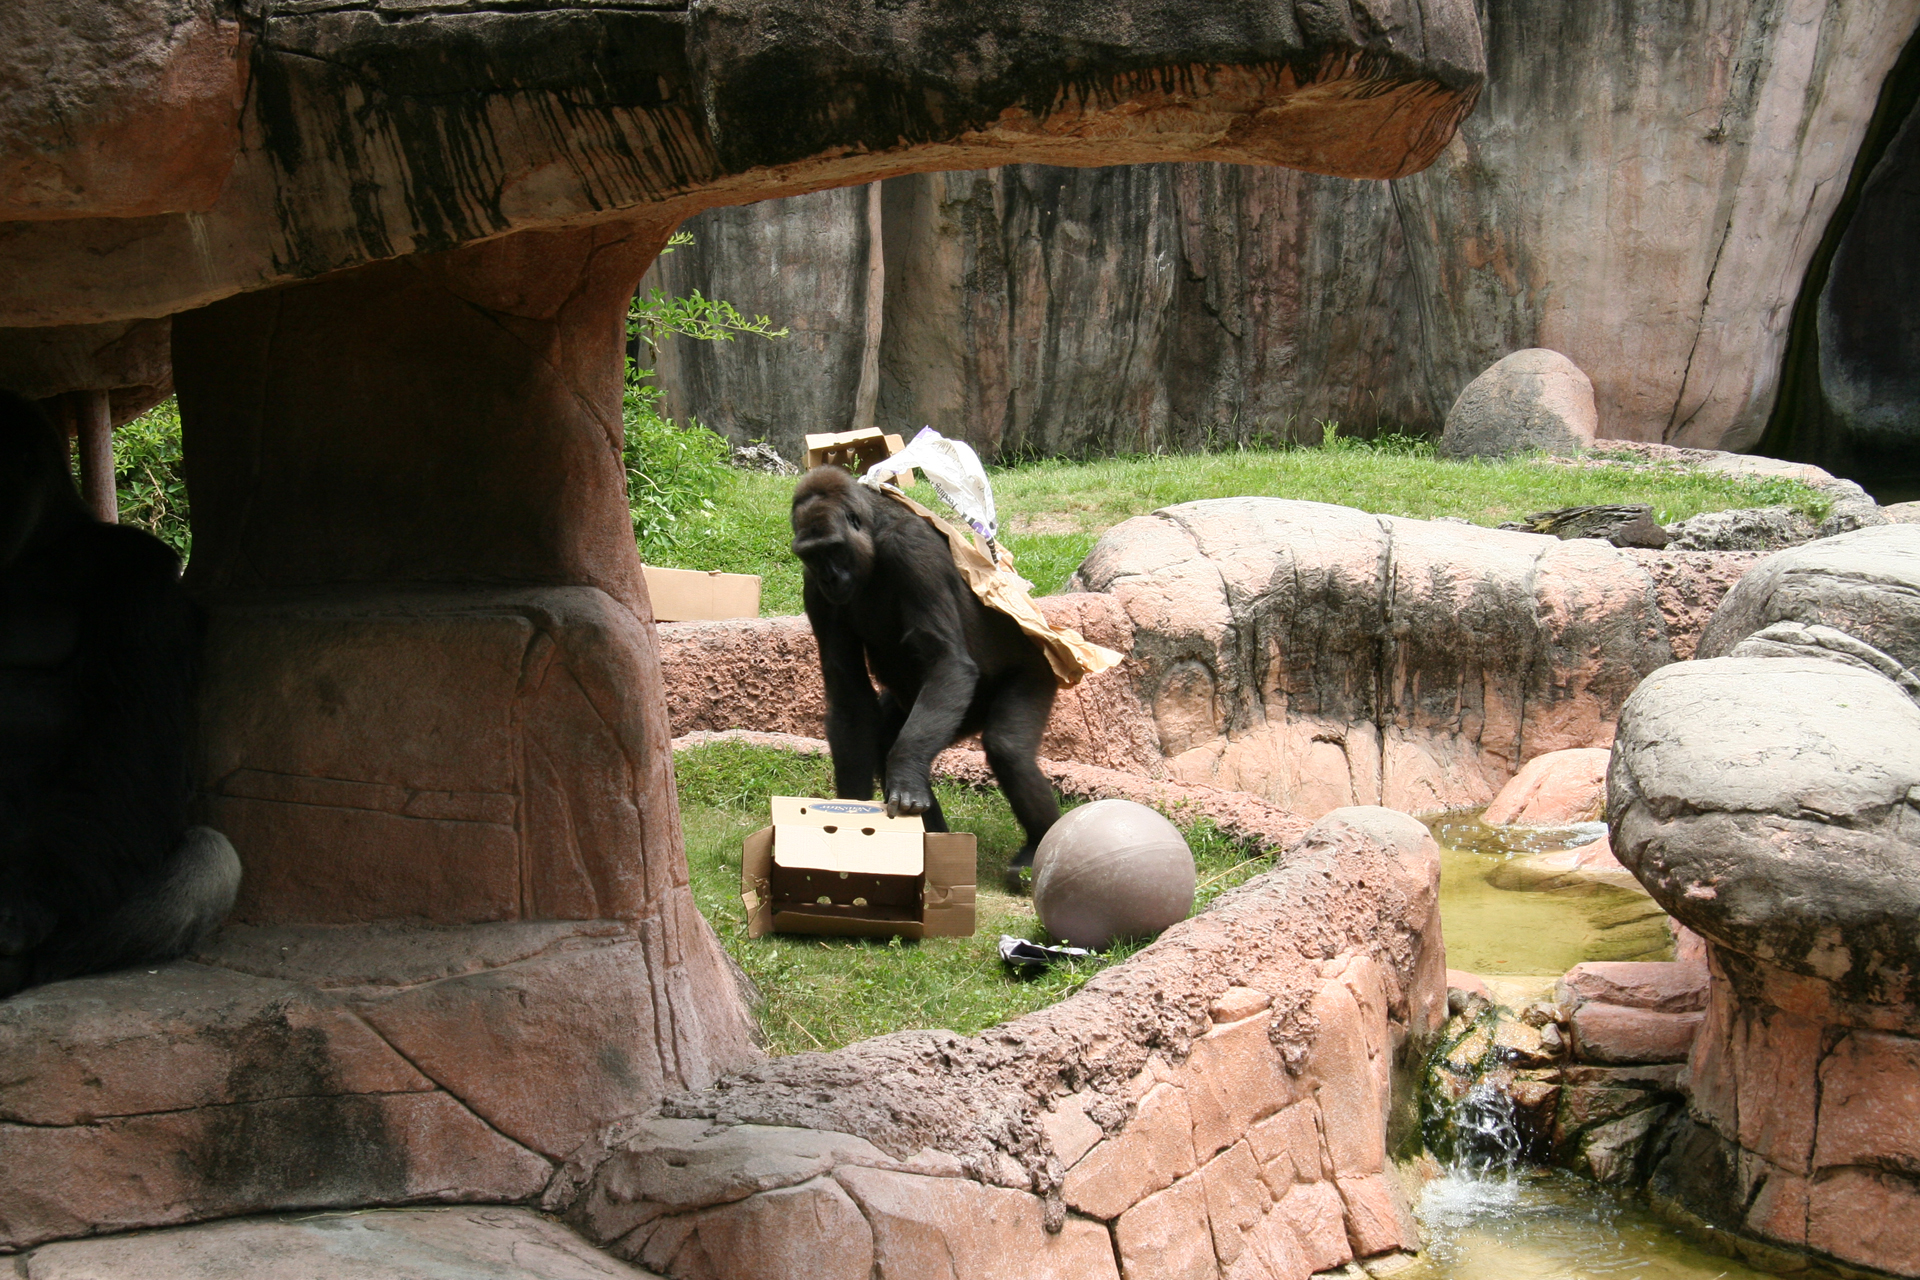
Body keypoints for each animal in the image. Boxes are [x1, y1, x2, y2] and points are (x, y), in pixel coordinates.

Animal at [791, 465, 1061, 880]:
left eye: (832, 549)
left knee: (1008, 749)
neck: (873, 532)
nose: (829, 578)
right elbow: (850, 699)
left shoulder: (911, 549)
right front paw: (847, 820)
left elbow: (947, 660)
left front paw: (903, 778)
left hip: (1037, 673)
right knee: (889, 735)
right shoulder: (814, 590)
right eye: (811, 555)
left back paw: (1036, 846)